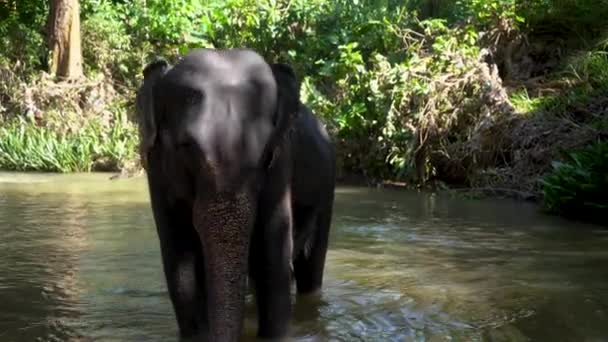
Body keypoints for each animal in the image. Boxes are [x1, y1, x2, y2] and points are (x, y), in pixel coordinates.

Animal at [135, 47, 338, 340]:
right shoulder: (156, 169)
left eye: (265, 151)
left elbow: (273, 251)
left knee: (310, 268)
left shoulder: (282, 160)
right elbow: (179, 258)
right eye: (186, 147)